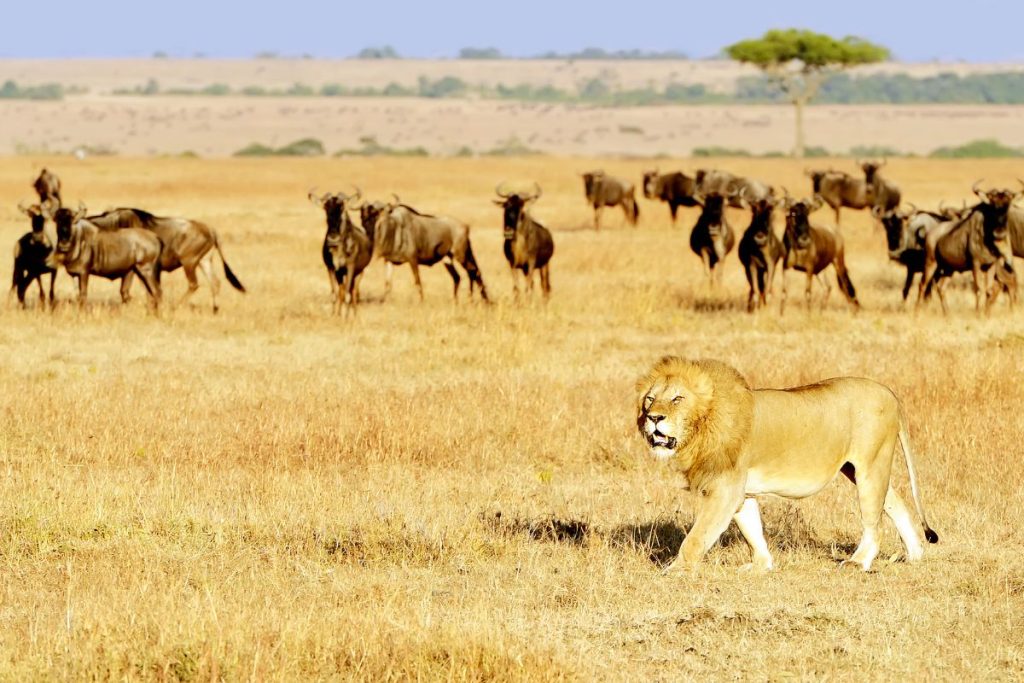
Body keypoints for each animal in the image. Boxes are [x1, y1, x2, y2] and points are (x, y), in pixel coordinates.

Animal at [634, 356, 937, 573]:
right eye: (650, 398)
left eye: (677, 398)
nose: (654, 417)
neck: (703, 426)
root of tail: (889, 392)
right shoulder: (741, 491)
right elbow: (751, 529)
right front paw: (762, 565)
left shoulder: (725, 488)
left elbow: (698, 535)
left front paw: (675, 570)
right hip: (858, 469)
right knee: (895, 501)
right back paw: (915, 554)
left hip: (870, 466)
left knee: (874, 521)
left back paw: (858, 562)